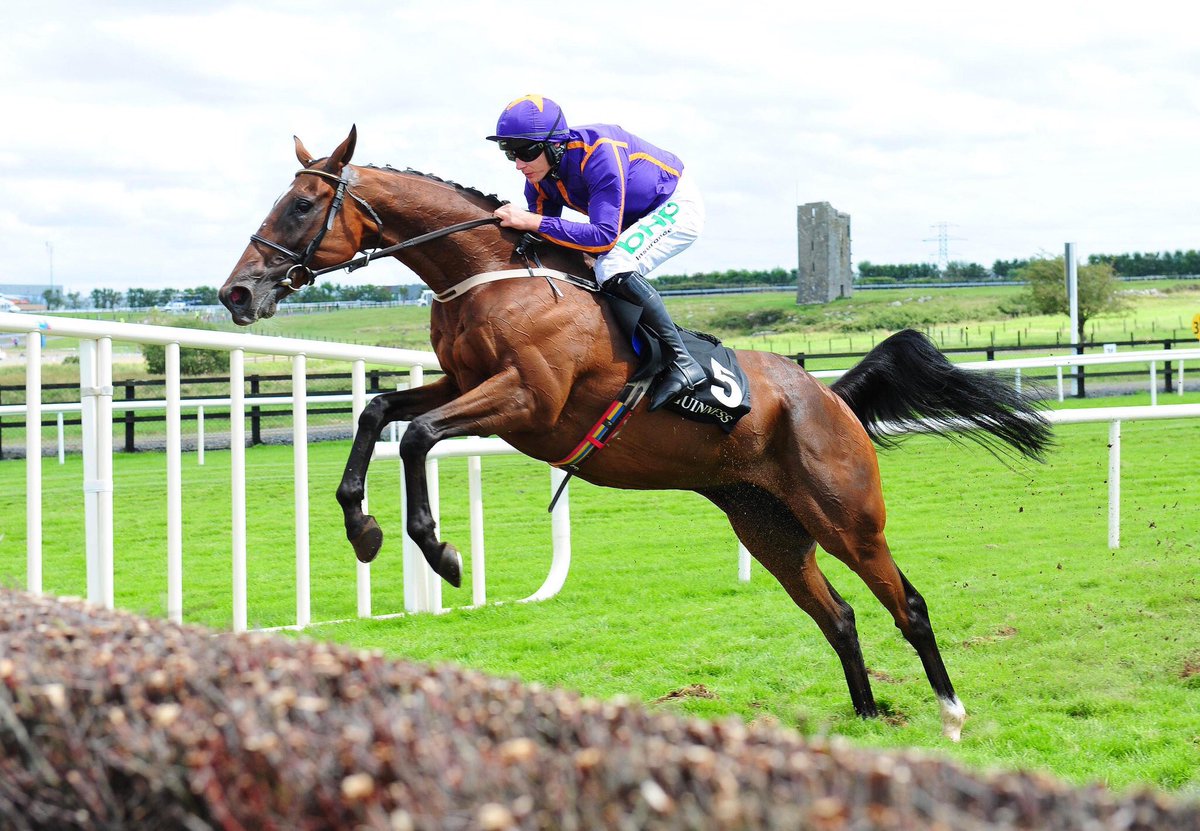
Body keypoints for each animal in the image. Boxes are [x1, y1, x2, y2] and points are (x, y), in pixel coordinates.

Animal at [219, 127, 1052, 740]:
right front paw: (362, 525)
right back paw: (869, 713)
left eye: (302, 204)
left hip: (846, 516)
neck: (492, 273)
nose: (236, 292)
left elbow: (419, 433)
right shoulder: (464, 383)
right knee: (840, 615)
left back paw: (949, 711)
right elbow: (379, 412)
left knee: (906, 605)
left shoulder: (527, 400)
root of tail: (830, 395)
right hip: (769, 528)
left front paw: (438, 548)